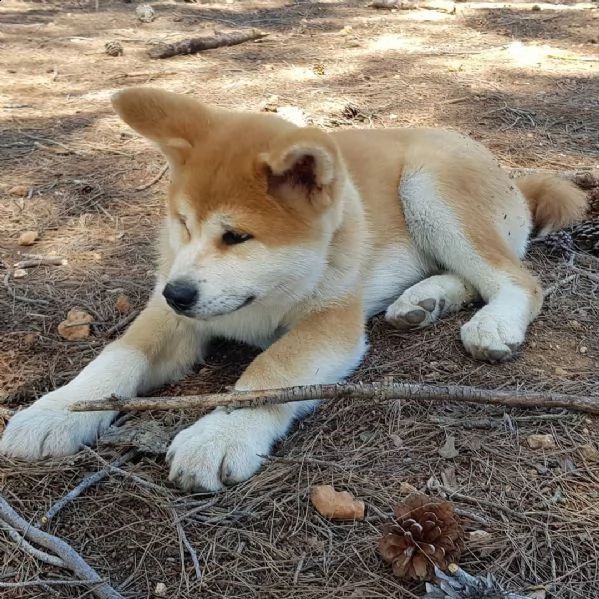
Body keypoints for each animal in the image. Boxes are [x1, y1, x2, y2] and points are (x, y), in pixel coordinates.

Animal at [0, 89, 588, 492]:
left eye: (237, 236)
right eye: (182, 224)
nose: (177, 294)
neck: (265, 297)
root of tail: (506, 171)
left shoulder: (330, 323)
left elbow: (271, 373)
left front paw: (220, 435)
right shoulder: (171, 314)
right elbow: (117, 357)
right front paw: (59, 409)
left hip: (428, 186)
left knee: (518, 279)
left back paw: (492, 322)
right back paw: (422, 301)